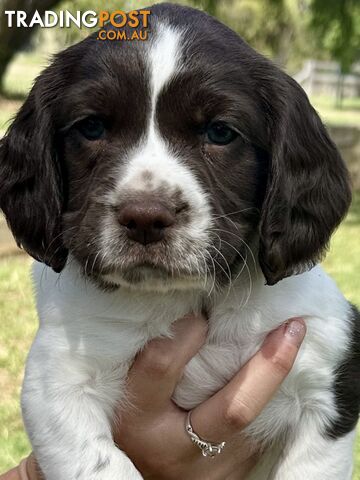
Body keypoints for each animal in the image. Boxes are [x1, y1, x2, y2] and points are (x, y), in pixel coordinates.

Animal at [0, 3, 360, 480]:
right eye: (91, 127)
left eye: (220, 133)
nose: (145, 217)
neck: (182, 297)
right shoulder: (57, 379)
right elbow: (102, 464)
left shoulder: (325, 377)